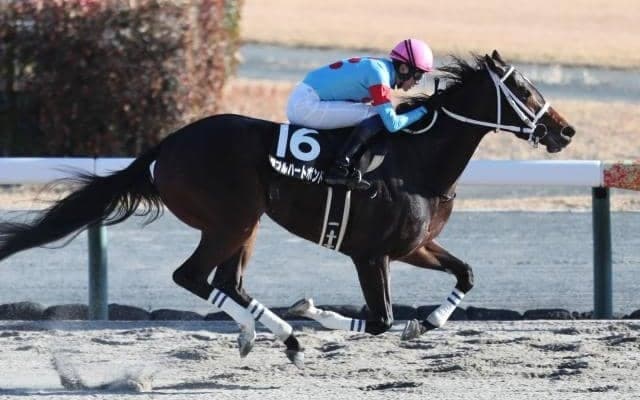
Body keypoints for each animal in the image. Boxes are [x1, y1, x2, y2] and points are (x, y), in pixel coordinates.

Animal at [0, 50, 575, 368]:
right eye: (523, 90)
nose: (565, 131)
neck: (419, 159)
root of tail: (167, 146)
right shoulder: (370, 254)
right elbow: (380, 320)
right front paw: (313, 310)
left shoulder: (414, 245)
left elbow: (466, 274)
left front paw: (425, 324)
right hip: (231, 219)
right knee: (192, 276)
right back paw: (285, 332)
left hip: (246, 223)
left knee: (227, 283)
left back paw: (276, 336)